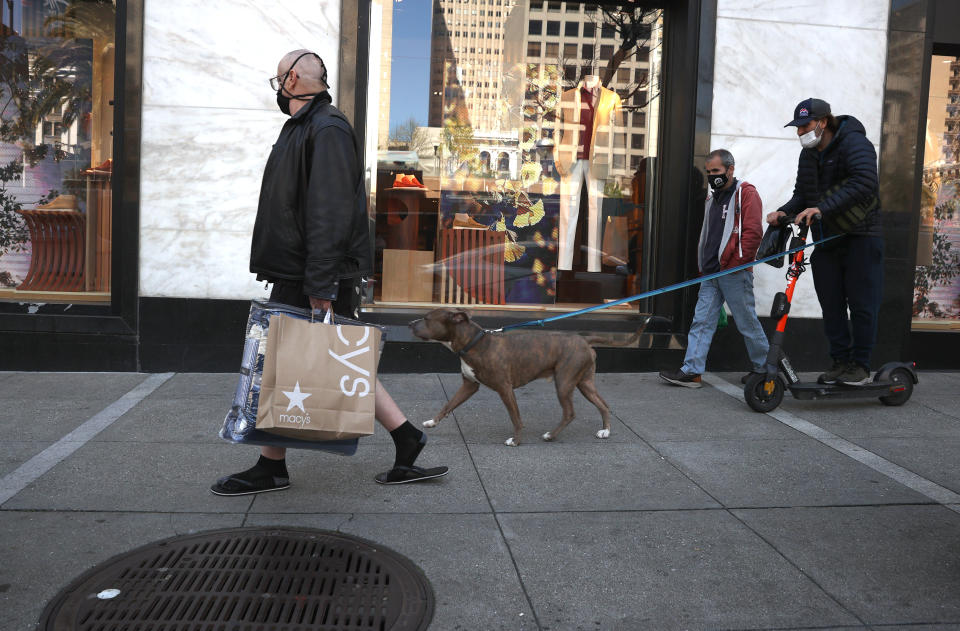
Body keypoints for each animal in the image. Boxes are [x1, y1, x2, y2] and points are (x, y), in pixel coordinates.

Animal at [408, 308, 632, 446]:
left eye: (427, 318)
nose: (410, 324)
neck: (473, 342)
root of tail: (584, 340)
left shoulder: (505, 388)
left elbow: (515, 417)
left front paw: (515, 441)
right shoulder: (469, 386)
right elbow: (448, 405)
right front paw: (432, 422)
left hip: (564, 382)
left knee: (570, 412)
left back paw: (551, 435)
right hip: (584, 383)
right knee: (603, 404)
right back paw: (605, 431)